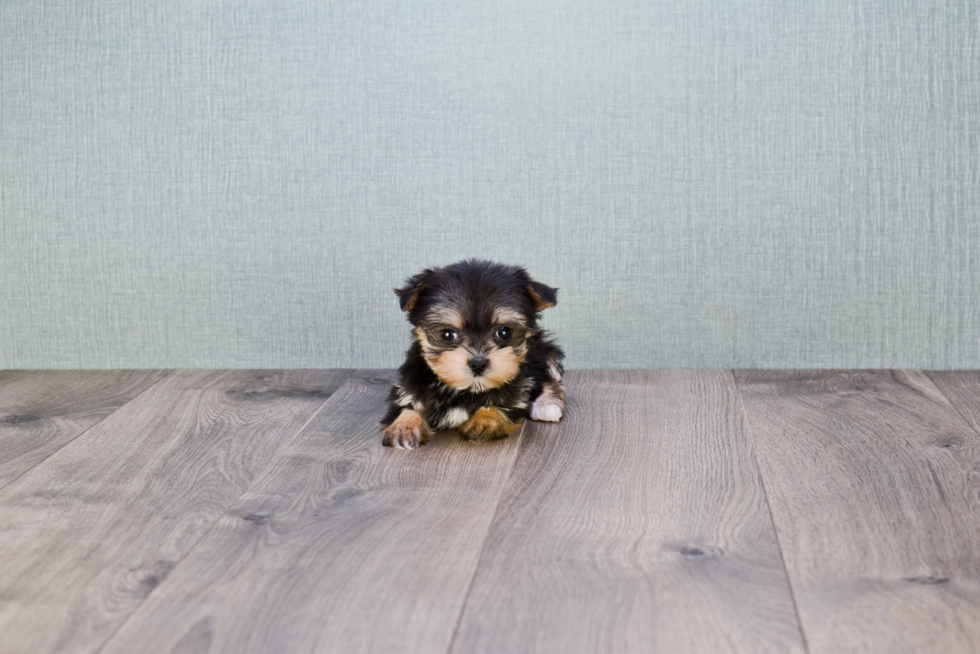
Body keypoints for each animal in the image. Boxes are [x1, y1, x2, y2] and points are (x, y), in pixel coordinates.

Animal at [382, 262, 568, 452]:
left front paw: (485, 420)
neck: (468, 389)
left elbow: (503, 402)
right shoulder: (410, 384)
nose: (478, 363)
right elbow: (408, 404)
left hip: (539, 352)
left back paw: (547, 405)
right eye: (447, 335)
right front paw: (404, 426)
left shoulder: (517, 392)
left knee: (550, 376)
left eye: (504, 332)